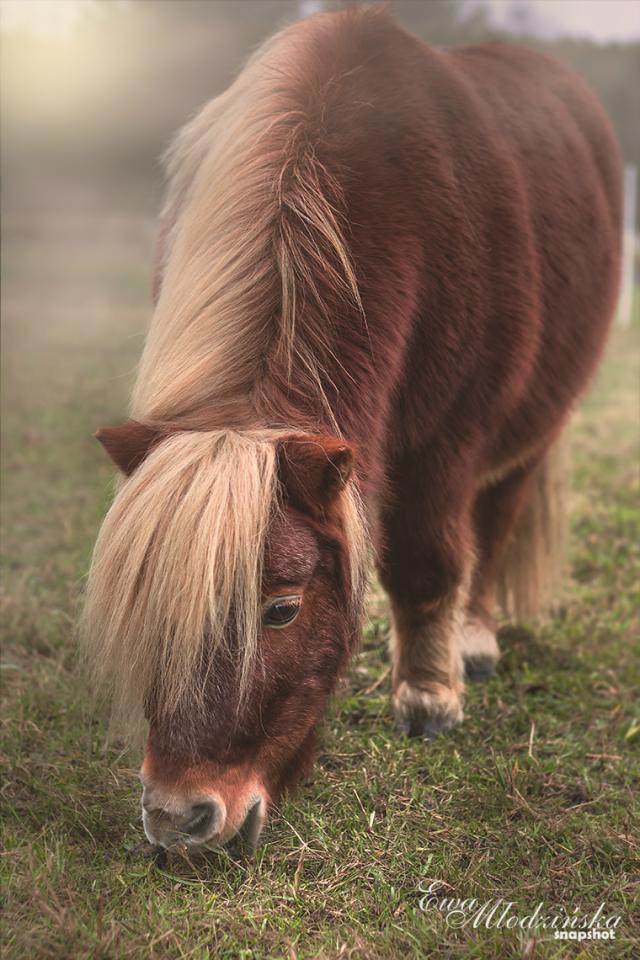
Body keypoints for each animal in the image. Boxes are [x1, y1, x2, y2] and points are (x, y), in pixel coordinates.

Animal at [80, 5, 620, 848]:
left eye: (281, 609)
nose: (178, 818)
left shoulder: (444, 448)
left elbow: (426, 562)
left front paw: (428, 697)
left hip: (533, 426)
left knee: (496, 520)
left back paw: (473, 640)